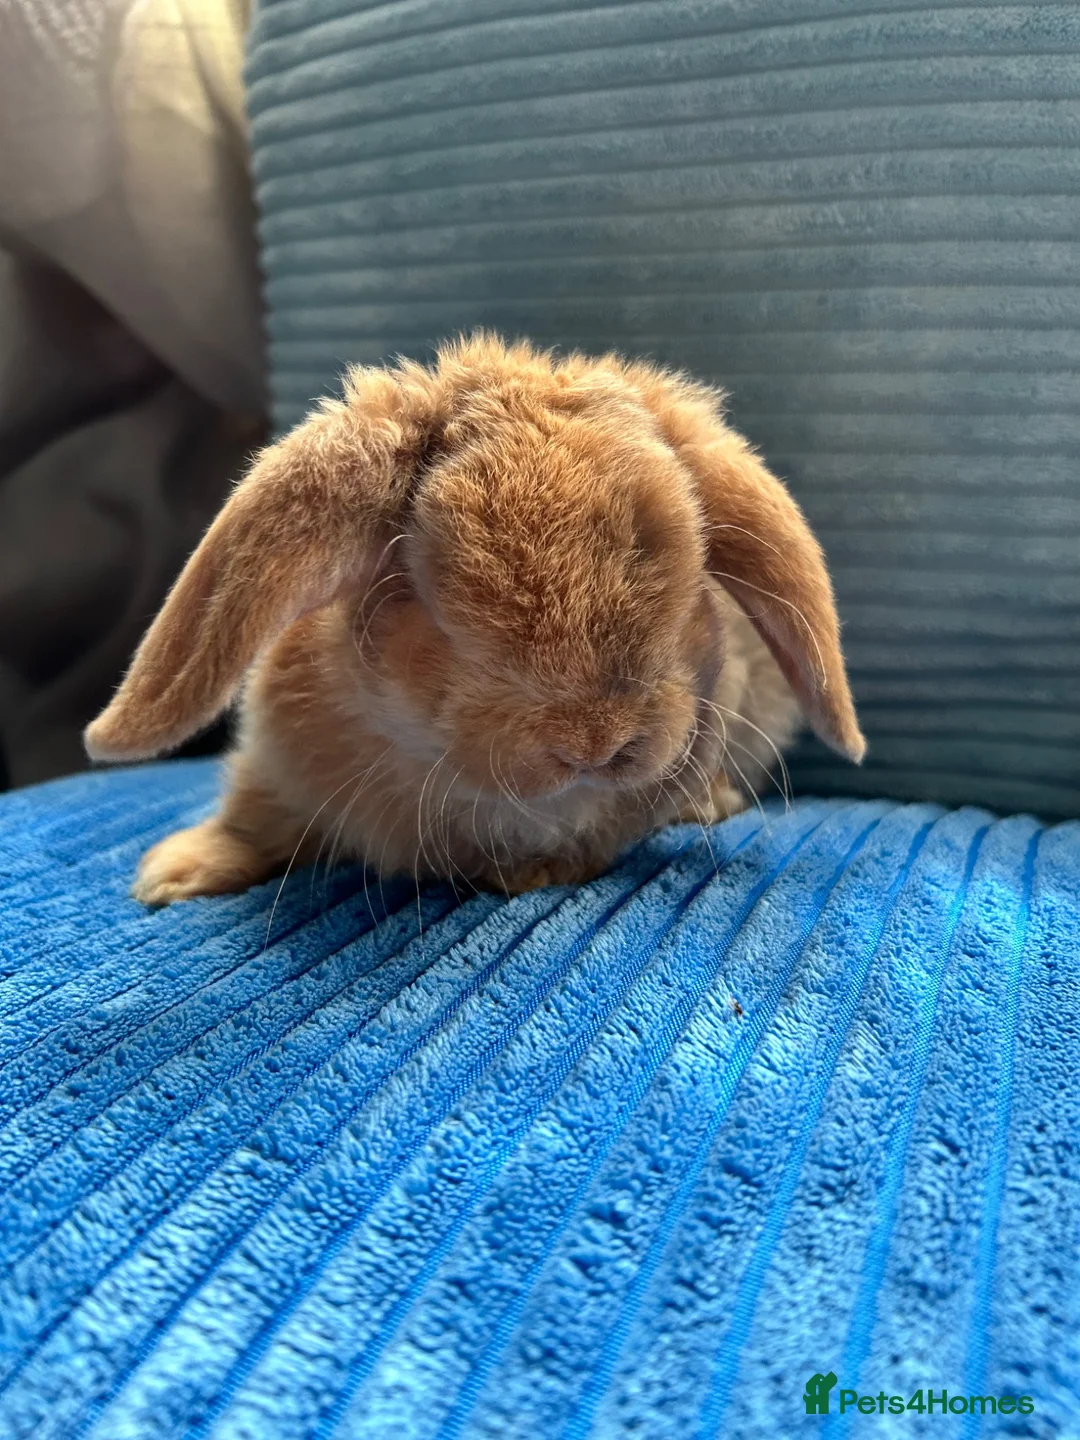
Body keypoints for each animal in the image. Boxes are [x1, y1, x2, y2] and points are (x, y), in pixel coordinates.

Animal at [84, 334, 864, 906]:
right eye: (430, 598)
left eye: (693, 586)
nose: (596, 742)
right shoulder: (275, 765)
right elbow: (252, 818)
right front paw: (173, 875)